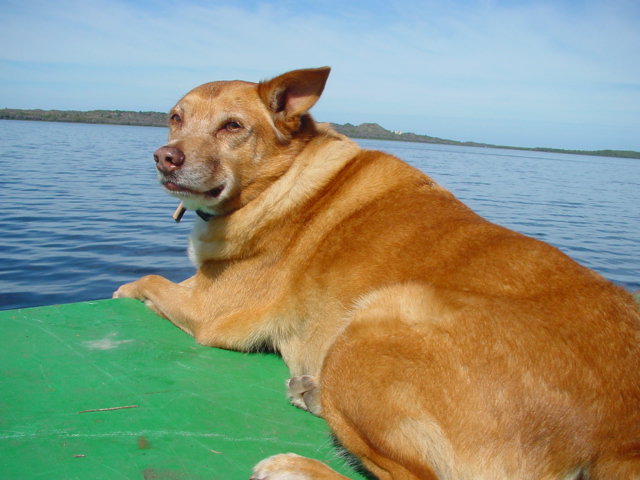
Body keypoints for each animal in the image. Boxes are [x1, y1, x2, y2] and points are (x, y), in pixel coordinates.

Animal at [114, 68, 640, 480]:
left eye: (233, 126)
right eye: (175, 117)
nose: (165, 157)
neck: (282, 179)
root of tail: (618, 440)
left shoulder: (210, 312)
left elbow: (146, 282)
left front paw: (123, 290)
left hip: (377, 318)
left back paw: (293, 467)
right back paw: (312, 394)